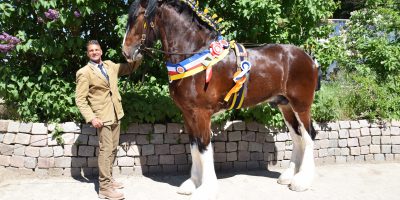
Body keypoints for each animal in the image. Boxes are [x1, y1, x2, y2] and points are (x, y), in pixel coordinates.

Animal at [122, 0, 318, 198]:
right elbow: (194, 147)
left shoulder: (202, 113)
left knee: (309, 135)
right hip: (285, 105)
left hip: (301, 105)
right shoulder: (187, 114)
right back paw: (289, 176)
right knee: (297, 136)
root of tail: (309, 58)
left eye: (139, 16)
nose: (126, 52)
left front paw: (206, 189)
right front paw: (192, 184)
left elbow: (204, 147)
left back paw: (302, 181)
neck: (193, 54)